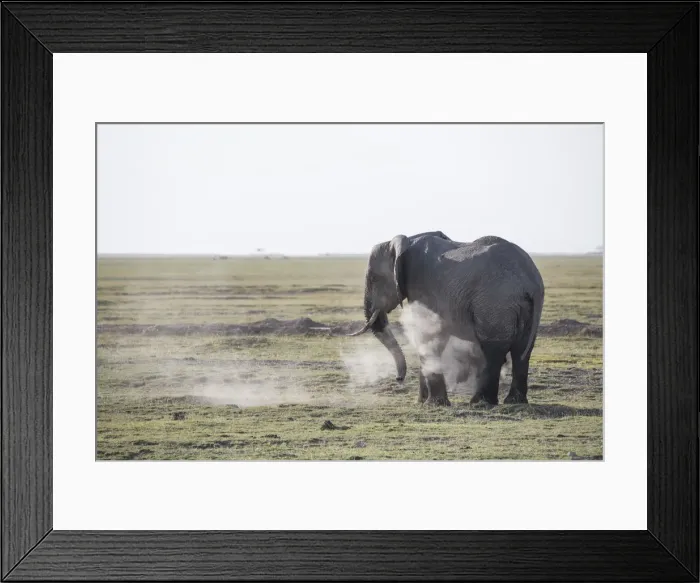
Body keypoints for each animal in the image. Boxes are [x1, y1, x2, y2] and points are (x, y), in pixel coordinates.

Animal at [349, 232, 544, 406]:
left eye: (374, 279)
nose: (398, 378)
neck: (407, 241)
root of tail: (530, 282)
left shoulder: (422, 286)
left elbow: (428, 336)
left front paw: (434, 404)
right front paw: (422, 402)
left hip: (494, 302)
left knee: (493, 349)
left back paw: (480, 403)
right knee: (522, 350)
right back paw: (514, 402)